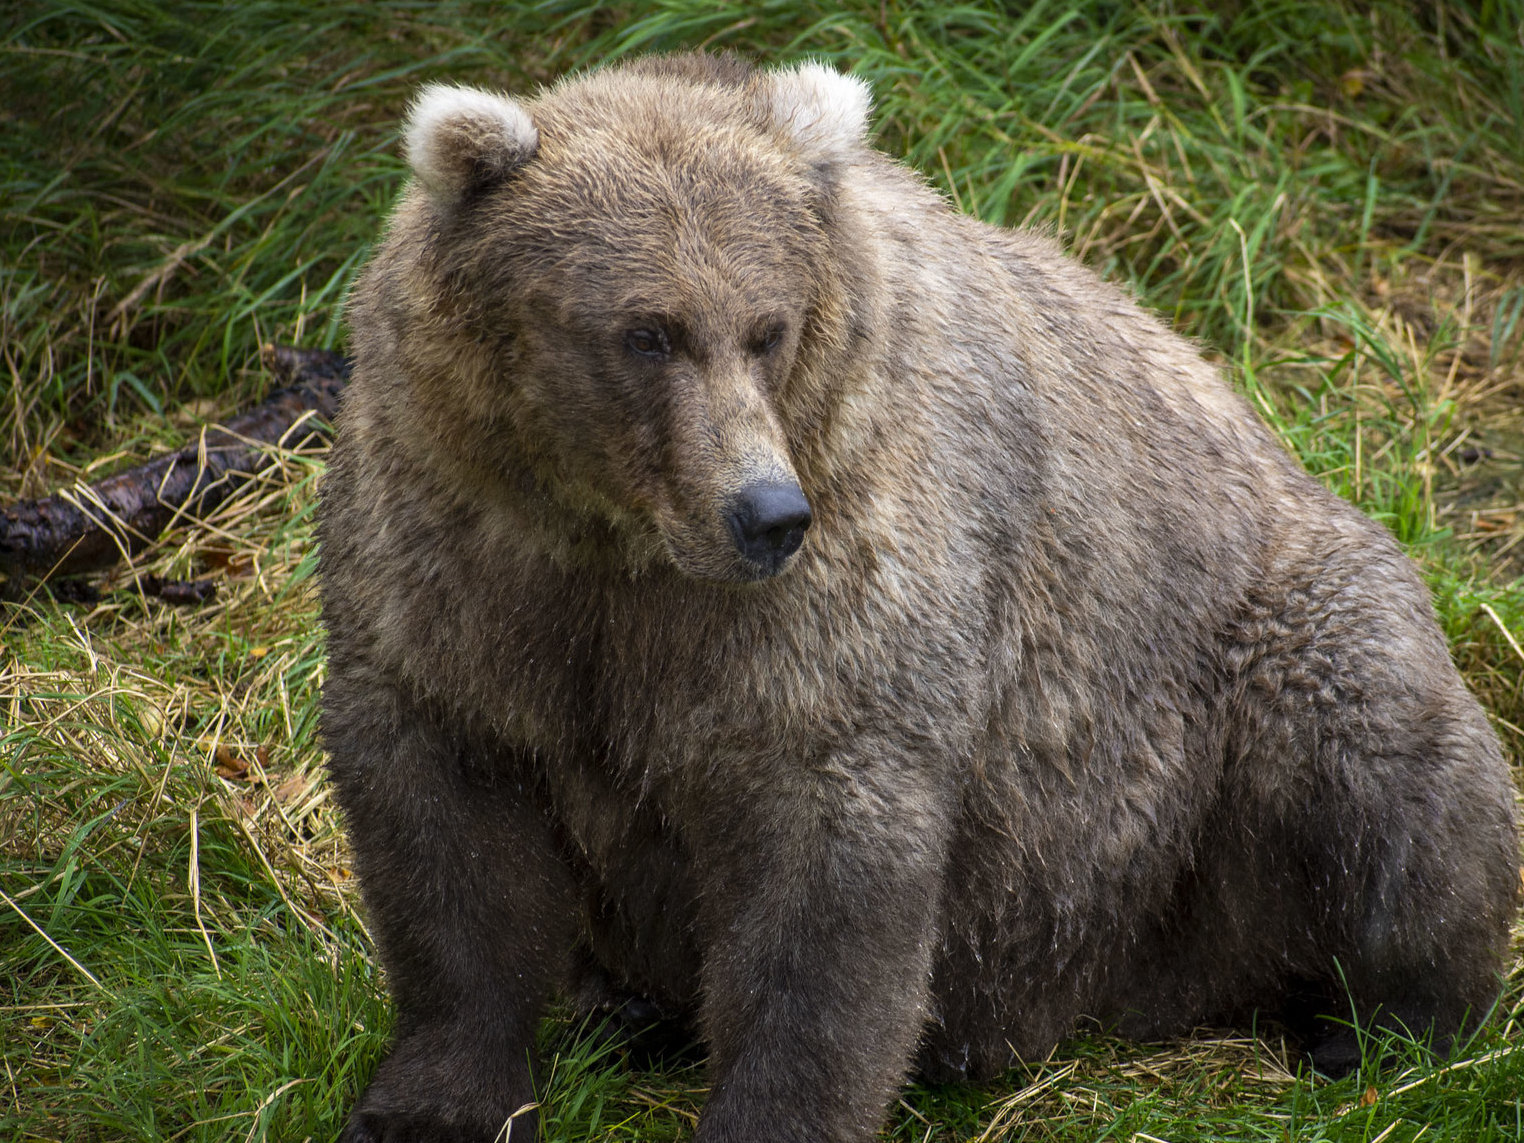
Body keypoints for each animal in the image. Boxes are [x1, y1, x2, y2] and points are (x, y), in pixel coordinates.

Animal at [319, 52, 1521, 1143]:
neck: (618, 543)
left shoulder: (841, 576)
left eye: (768, 326)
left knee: (1378, 774)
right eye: (643, 331)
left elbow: (825, 882)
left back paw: (1381, 1026)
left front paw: (773, 1113)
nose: (764, 512)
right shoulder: (463, 564)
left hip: (1253, 670)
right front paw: (430, 1104)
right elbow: (451, 845)